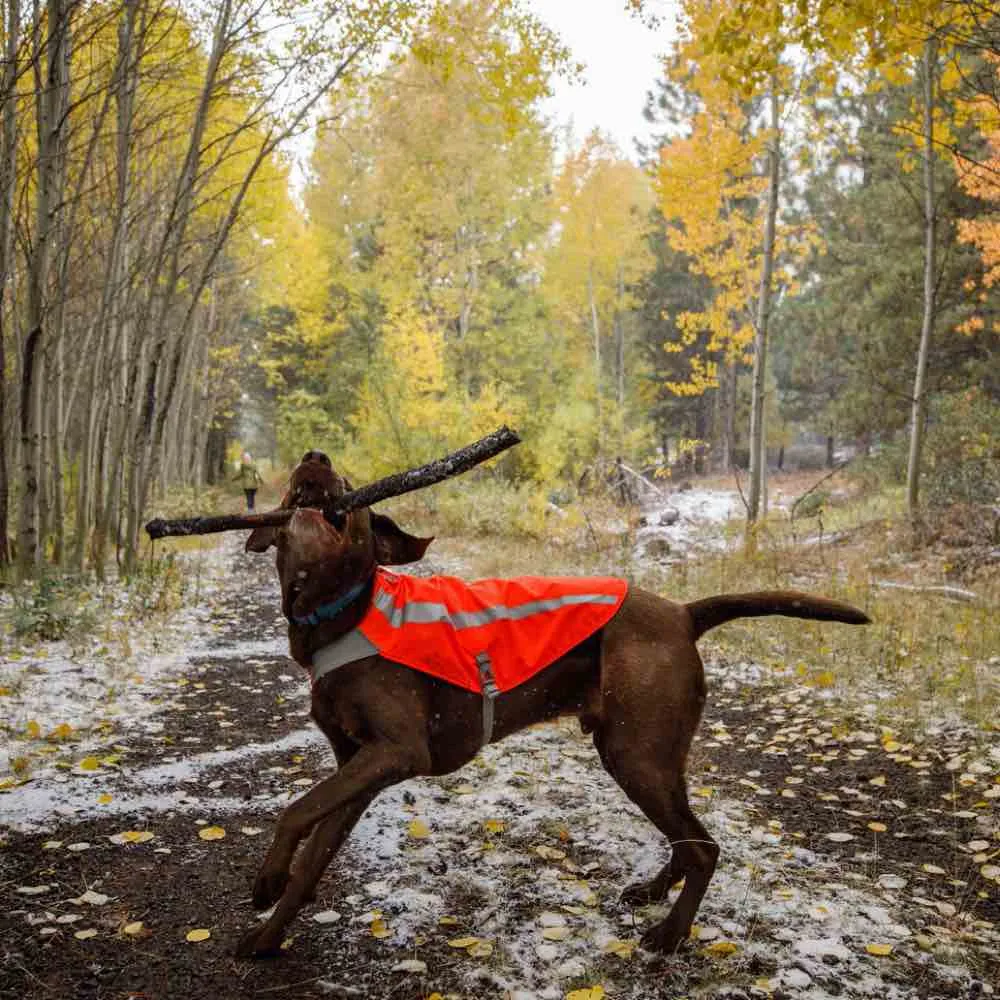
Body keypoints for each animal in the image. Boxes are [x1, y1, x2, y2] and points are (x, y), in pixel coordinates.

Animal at [234, 454, 868, 960]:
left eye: (348, 481)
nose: (315, 456)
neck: (339, 611)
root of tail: (682, 613)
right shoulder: (356, 769)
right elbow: (314, 853)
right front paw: (268, 938)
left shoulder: (395, 751)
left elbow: (296, 809)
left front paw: (267, 878)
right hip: (654, 755)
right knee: (688, 840)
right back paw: (654, 892)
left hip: (634, 755)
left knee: (704, 848)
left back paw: (669, 935)